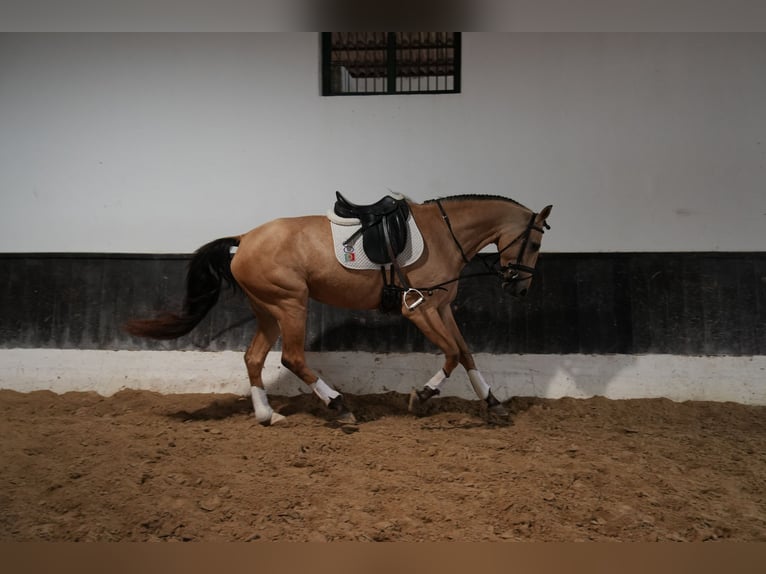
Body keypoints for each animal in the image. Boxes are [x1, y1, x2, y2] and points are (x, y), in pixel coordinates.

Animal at [126, 196, 552, 426]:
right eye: (534, 245)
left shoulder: (443, 307)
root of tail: (245, 238)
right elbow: (449, 354)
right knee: (292, 357)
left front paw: (493, 403)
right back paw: (338, 405)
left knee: (253, 357)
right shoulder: (419, 308)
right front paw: (422, 396)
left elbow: (465, 353)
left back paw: (267, 415)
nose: (520, 287)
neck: (444, 236)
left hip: (267, 309)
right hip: (291, 304)